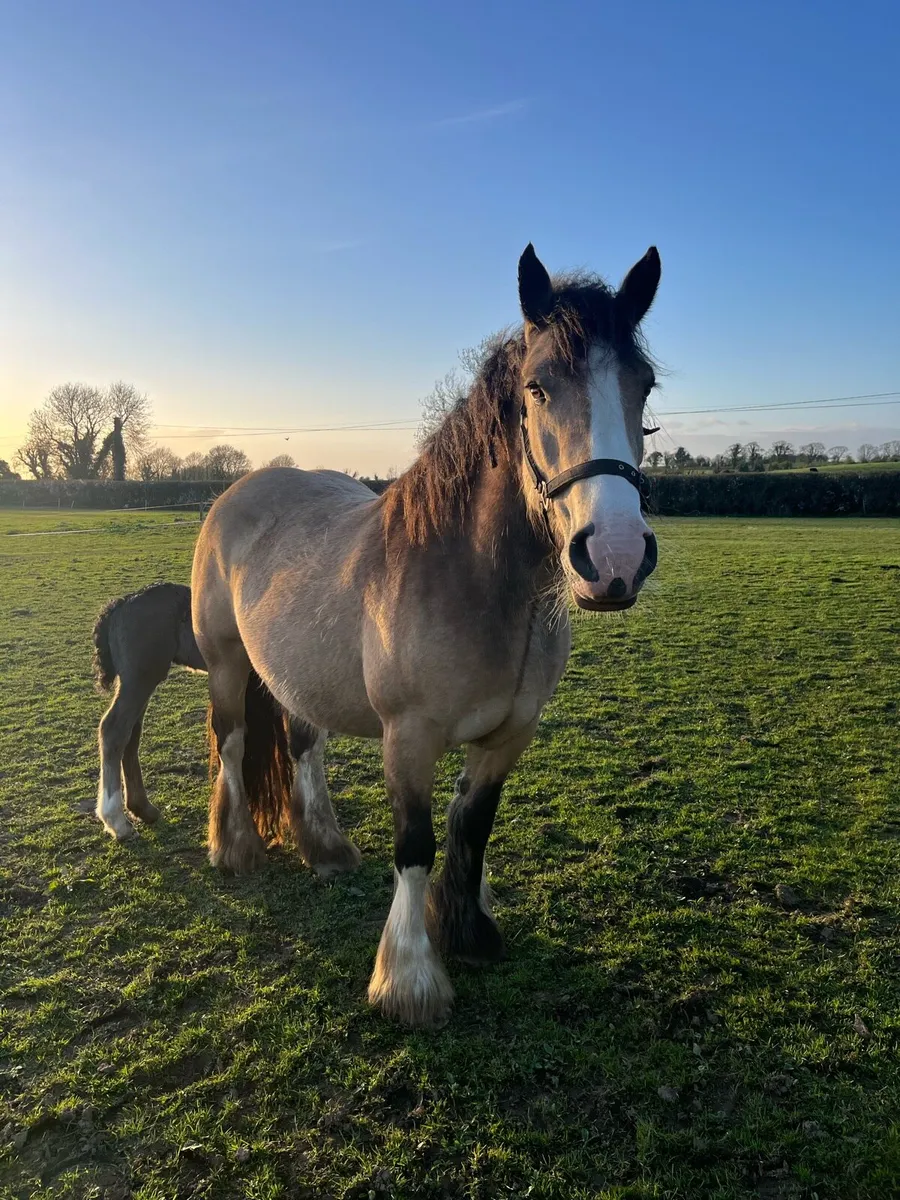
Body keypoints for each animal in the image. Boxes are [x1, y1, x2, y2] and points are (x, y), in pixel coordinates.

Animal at [92, 583, 329, 849]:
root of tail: (121, 604)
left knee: (131, 735)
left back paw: (142, 809)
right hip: (140, 679)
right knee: (114, 731)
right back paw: (117, 822)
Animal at [191, 243, 662, 1026]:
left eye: (645, 386)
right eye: (538, 388)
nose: (616, 557)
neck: (475, 580)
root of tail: (241, 490)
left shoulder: (510, 735)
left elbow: (471, 824)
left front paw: (468, 930)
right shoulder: (407, 738)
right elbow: (414, 845)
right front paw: (409, 979)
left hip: (296, 675)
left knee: (302, 745)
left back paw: (324, 848)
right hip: (227, 664)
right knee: (230, 742)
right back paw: (234, 849)